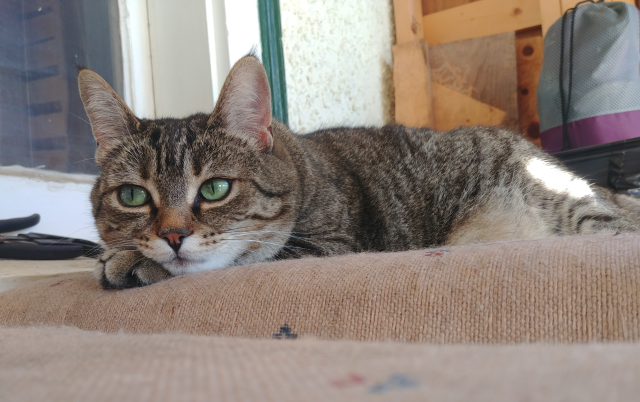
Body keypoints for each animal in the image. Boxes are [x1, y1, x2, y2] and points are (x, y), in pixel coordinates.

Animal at [80, 55, 640, 288]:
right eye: (133, 197)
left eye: (216, 188)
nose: (172, 236)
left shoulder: (330, 244)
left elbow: (245, 256)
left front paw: (127, 260)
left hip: (576, 211)